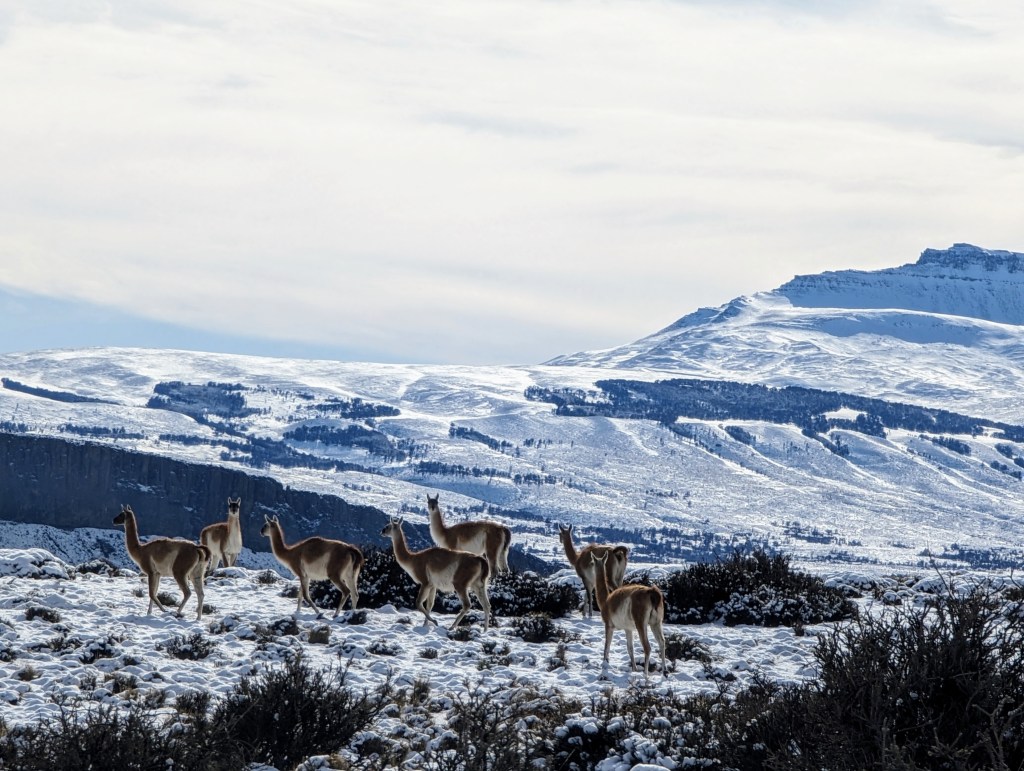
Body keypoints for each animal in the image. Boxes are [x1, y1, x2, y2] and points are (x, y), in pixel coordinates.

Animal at [592, 550, 667, 680]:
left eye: (592, 563)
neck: (605, 600)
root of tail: (652, 593)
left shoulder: (609, 625)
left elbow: (607, 646)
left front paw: (605, 664)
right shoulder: (628, 629)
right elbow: (630, 648)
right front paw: (634, 669)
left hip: (641, 622)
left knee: (647, 647)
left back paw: (645, 674)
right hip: (656, 622)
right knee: (662, 643)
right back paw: (664, 672)